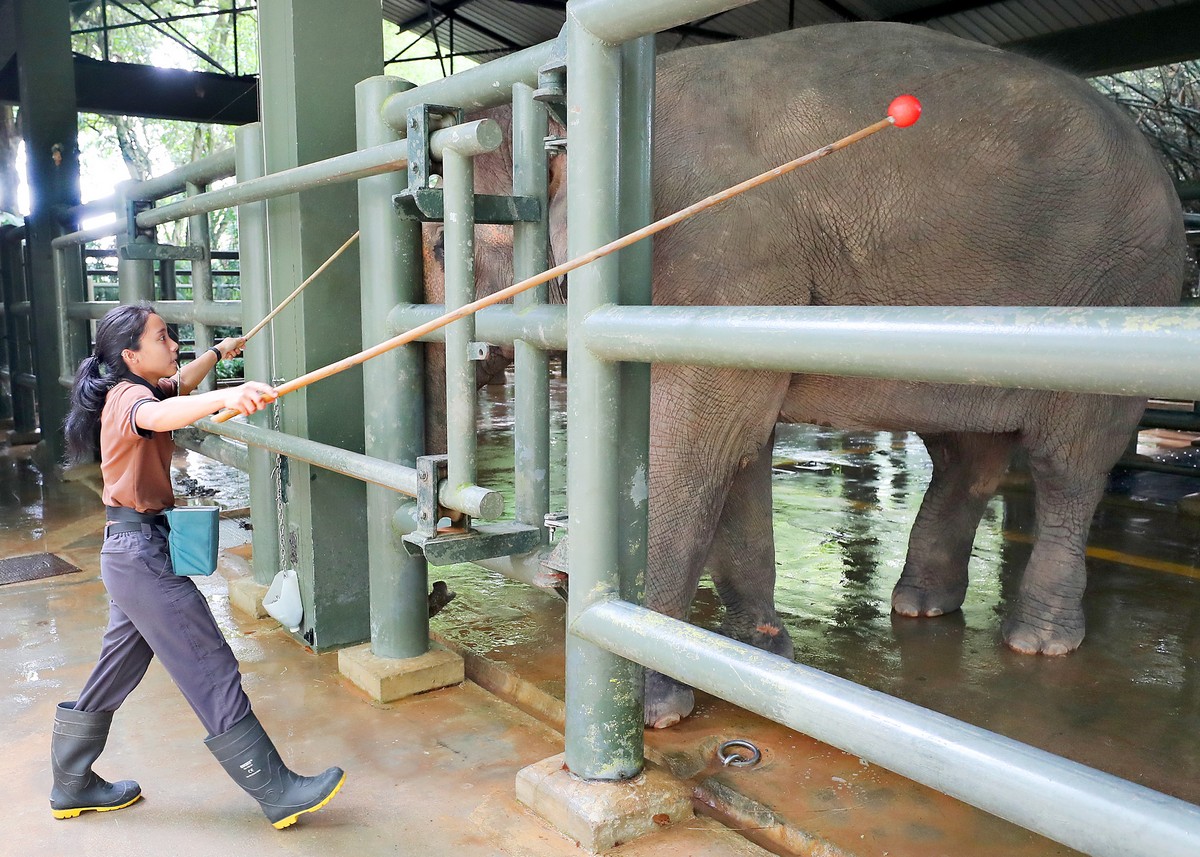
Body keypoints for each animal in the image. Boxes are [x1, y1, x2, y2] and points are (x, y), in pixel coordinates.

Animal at [419, 21, 1186, 729]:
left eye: (439, 247)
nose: (437, 595)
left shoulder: (713, 263)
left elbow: (696, 446)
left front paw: (655, 709)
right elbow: (738, 451)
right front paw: (758, 653)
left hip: (1119, 294)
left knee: (1068, 461)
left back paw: (1037, 642)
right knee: (964, 453)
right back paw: (922, 608)